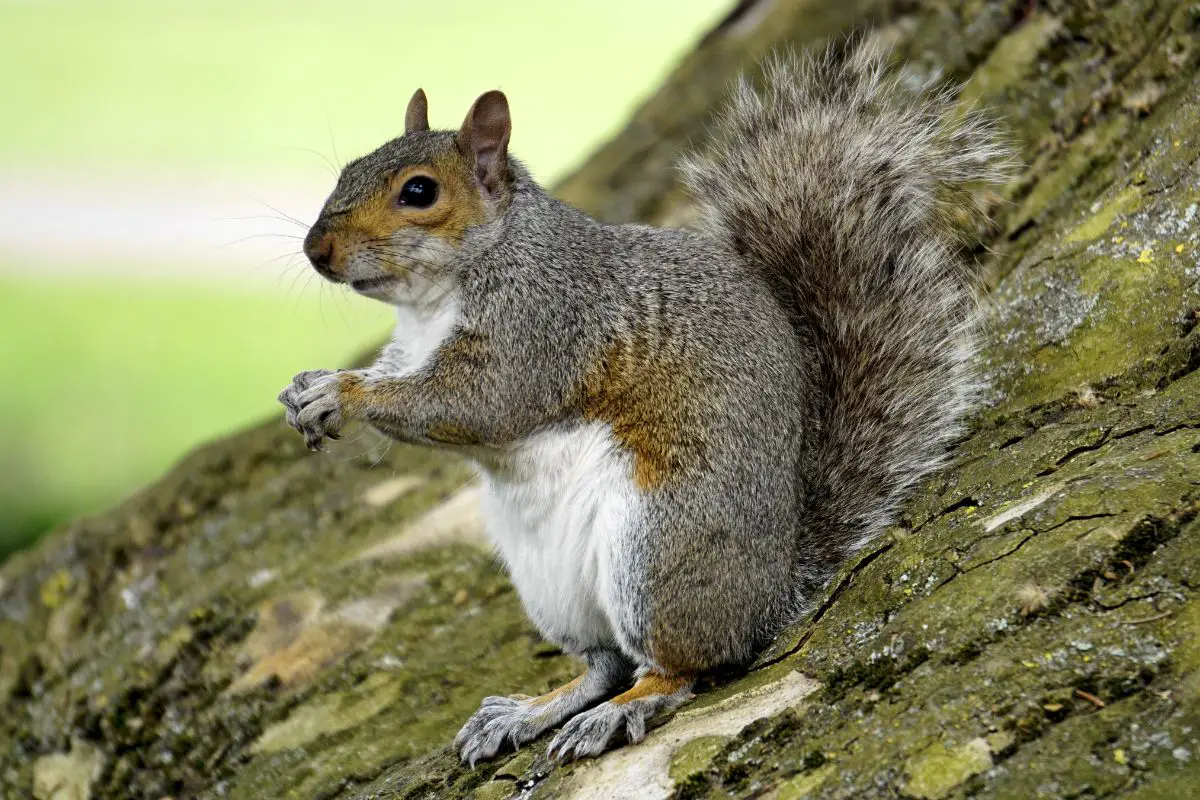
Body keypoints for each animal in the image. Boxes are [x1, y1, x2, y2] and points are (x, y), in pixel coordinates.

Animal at [276, 43, 1008, 762]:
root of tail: (772, 592)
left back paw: (621, 711)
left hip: (656, 551)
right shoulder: (413, 348)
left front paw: (343, 394)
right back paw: (532, 711)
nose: (317, 250)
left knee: (682, 667)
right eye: (350, 168)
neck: (440, 295)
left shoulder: (541, 328)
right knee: (604, 664)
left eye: (419, 192)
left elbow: (473, 404)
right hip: (553, 588)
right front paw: (307, 388)